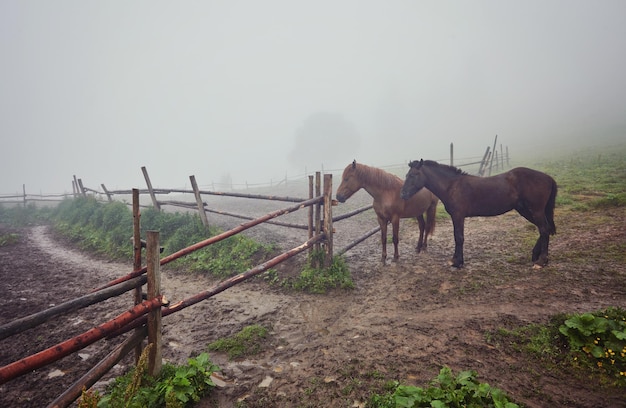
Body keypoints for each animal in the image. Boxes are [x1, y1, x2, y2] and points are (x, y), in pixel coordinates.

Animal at [400, 159, 556, 268]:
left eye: (414, 175)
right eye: (407, 175)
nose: (403, 194)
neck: (452, 186)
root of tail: (548, 178)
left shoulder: (458, 216)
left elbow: (459, 237)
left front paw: (457, 262)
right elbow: (457, 237)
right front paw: (456, 260)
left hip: (535, 210)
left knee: (544, 229)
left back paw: (541, 261)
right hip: (525, 210)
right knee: (545, 229)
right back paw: (537, 256)